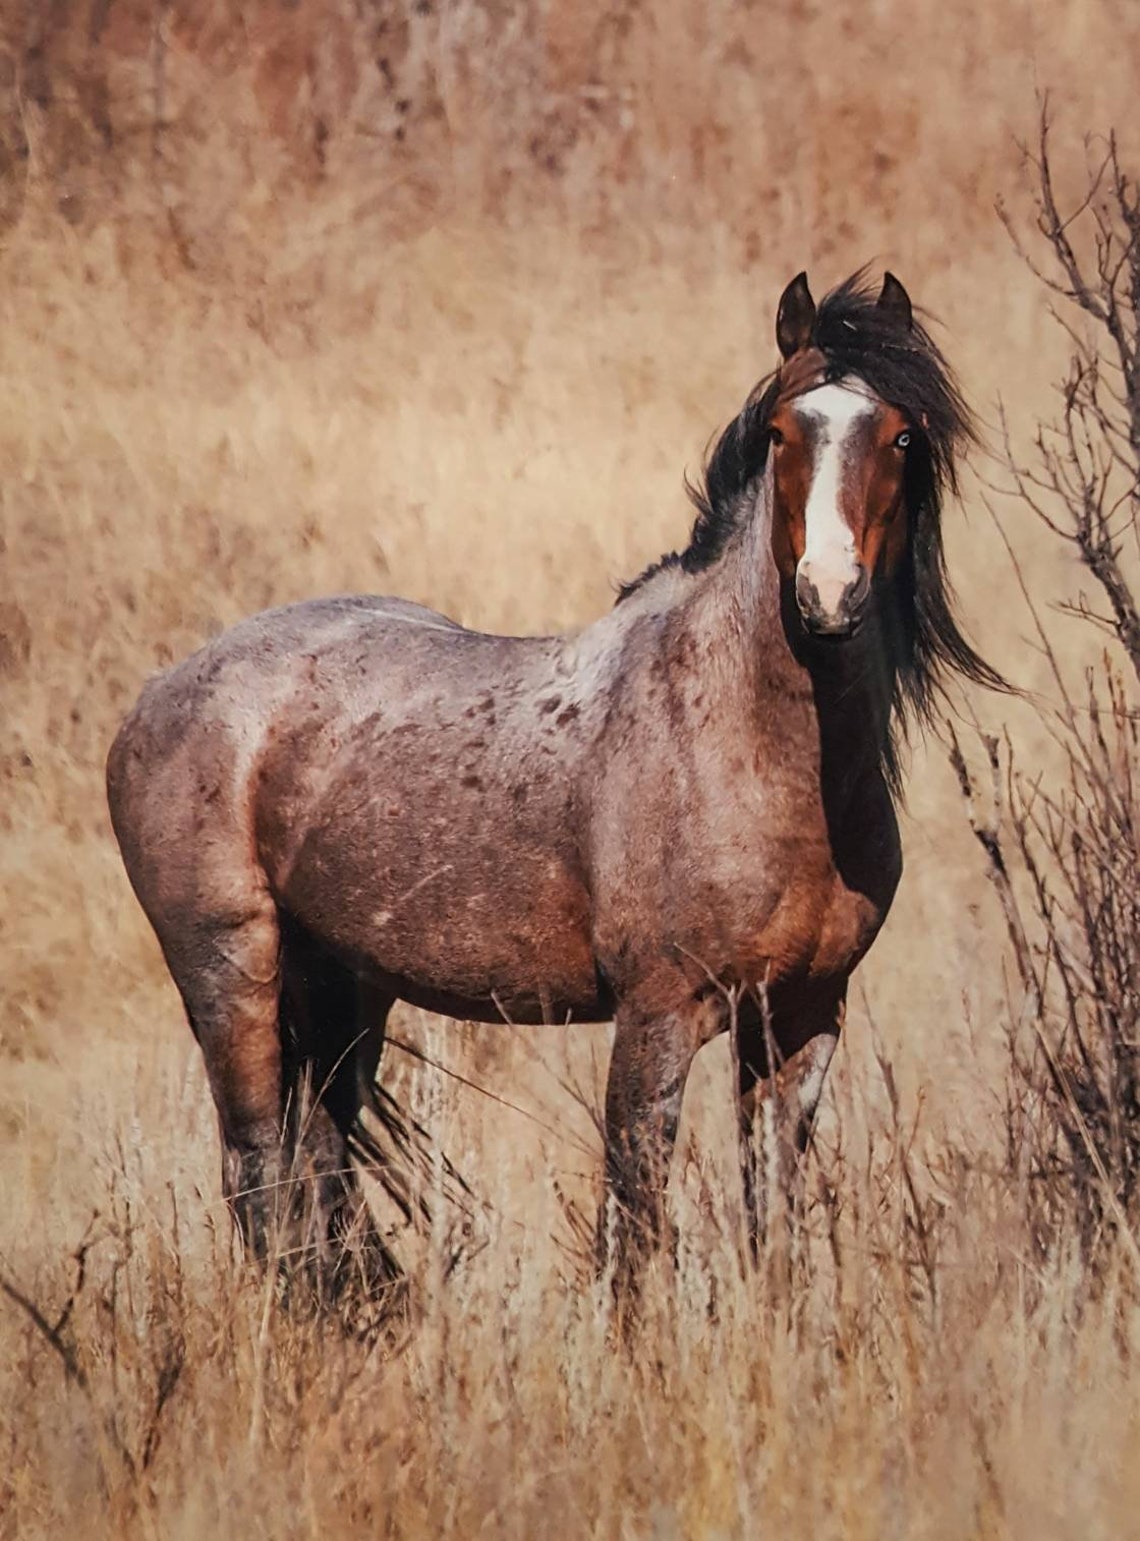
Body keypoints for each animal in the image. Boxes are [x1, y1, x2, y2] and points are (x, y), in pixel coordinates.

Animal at [106, 269, 1002, 1297]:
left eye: (901, 436)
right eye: (782, 432)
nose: (828, 596)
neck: (756, 754)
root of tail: (156, 695)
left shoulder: (804, 1018)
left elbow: (769, 1229)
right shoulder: (658, 1016)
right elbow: (638, 1228)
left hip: (341, 990)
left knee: (319, 1172)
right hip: (231, 972)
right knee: (256, 1172)